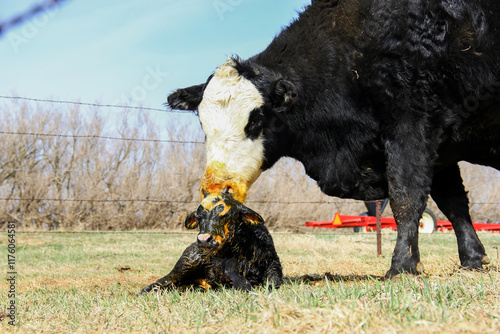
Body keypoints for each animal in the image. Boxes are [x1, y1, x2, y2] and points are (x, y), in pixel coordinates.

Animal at [139, 192, 284, 294]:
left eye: (226, 215)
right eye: (199, 217)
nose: (204, 239)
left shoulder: (273, 263)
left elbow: (273, 282)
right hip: (186, 263)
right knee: (165, 280)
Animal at [166, 0, 498, 276]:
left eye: (256, 119)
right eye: (202, 123)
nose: (216, 187)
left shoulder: (412, 127)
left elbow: (407, 197)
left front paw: (403, 265)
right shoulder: (441, 152)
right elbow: (454, 204)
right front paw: (473, 260)